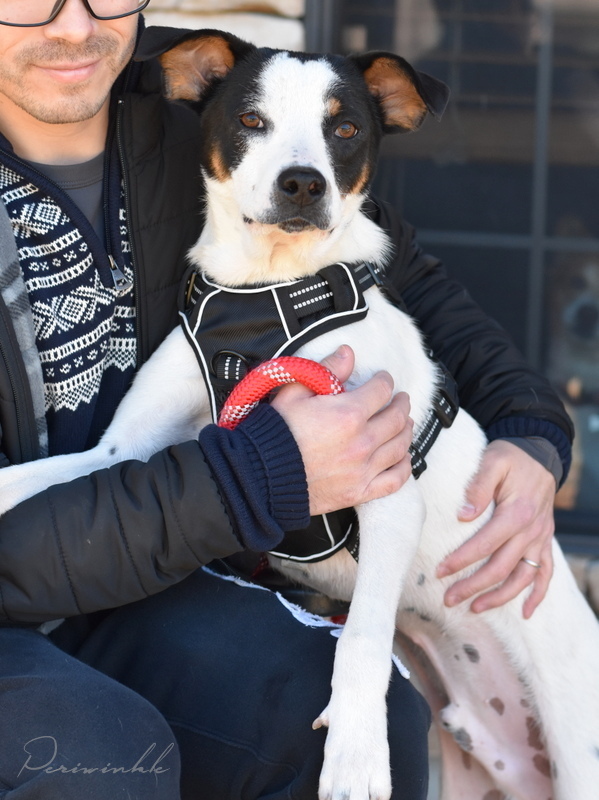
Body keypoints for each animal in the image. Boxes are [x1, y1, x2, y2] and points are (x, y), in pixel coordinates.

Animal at [1, 26, 599, 800]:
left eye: (344, 130)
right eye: (252, 119)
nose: (303, 184)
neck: (267, 296)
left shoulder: (388, 491)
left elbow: (366, 639)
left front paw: (355, 755)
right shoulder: (121, 451)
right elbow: (47, 476)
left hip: (577, 753)